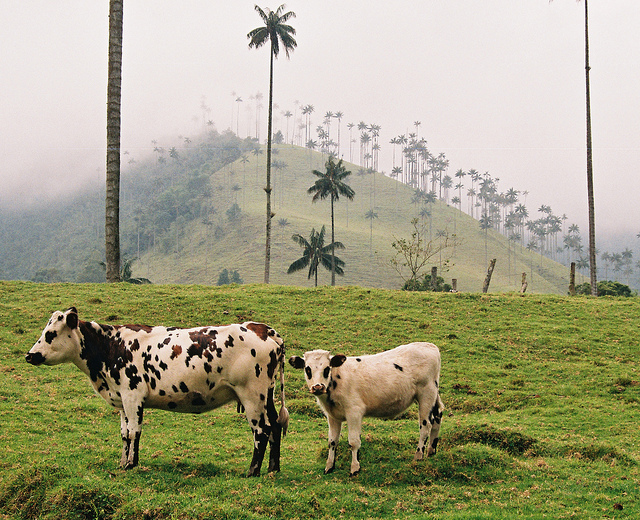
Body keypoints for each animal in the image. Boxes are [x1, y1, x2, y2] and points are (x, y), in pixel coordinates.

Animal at [26, 306, 288, 478]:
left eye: (50, 334)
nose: (30, 355)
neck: (111, 346)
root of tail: (262, 329)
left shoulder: (133, 395)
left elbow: (134, 432)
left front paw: (131, 465)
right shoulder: (122, 400)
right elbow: (124, 434)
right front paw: (122, 463)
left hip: (252, 396)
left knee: (261, 430)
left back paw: (252, 471)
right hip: (267, 396)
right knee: (275, 426)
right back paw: (273, 469)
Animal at [288, 344, 442, 478]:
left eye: (327, 368)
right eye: (307, 369)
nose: (318, 387)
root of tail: (429, 345)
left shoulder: (354, 412)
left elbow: (354, 441)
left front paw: (355, 468)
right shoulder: (332, 416)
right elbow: (332, 441)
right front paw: (329, 467)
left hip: (426, 394)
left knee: (425, 425)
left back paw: (419, 455)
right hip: (433, 395)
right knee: (438, 416)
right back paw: (431, 451)